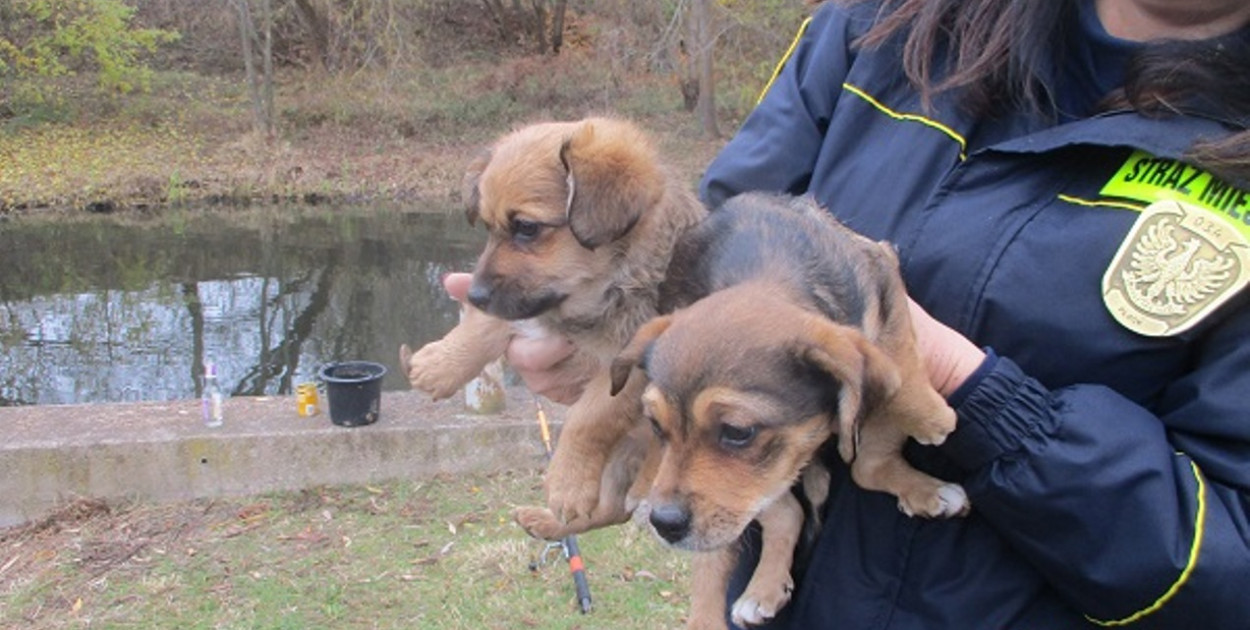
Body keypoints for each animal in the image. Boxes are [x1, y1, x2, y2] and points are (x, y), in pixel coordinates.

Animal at [402, 115, 710, 535]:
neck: (602, 294)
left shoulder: (631, 371)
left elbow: (589, 416)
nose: (475, 295)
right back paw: (546, 523)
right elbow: (486, 326)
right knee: (608, 511)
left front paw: (567, 482)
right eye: (489, 228)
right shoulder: (527, 302)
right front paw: (440, 364)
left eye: (526, 227)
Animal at [610, 193, 970, 630]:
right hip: (769, 475)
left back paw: (929, 491)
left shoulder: (881, 273)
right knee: (798, 506)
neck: (768, 268)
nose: (663, 523)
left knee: (866, 464)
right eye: (656, 426)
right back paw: (761, 590)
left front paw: (931, 415)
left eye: (737, 431)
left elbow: (898, 361)